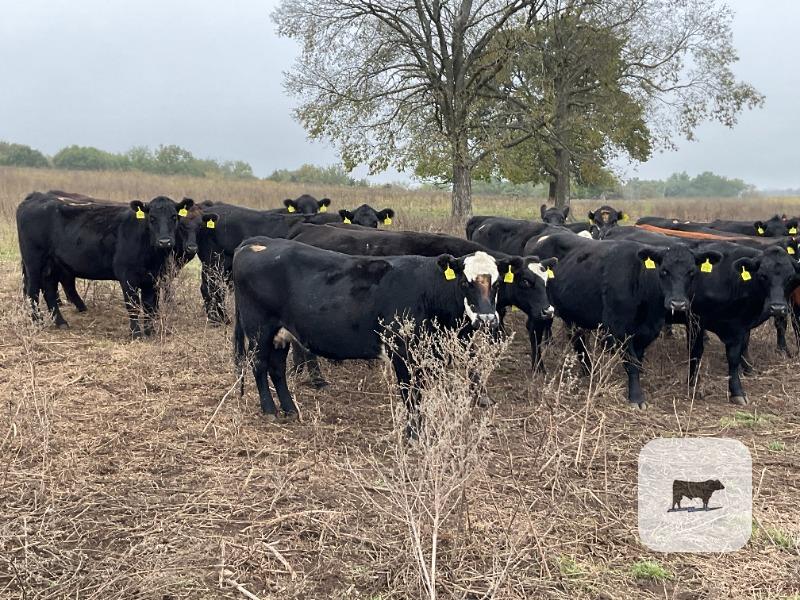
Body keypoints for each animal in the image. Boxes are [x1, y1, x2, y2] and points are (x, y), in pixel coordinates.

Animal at [17, 191, 192, 336]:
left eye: (174, 217)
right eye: (152, 218)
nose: (164, 241)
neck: (152, 257)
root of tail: (36, 197)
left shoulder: (153, 278)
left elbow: (150, 307)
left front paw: (150, 332)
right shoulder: (127, 276)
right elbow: (133, 305)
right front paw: (136, 333)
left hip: (52, 265)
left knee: (49, 291)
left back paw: (60, 322)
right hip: (33, 262)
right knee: (33, 291)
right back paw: (38, 322)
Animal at [232, 237, 512, 436]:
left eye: (498, 284)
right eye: (465, 282)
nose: (487, 319)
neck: (428, 291)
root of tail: (259, 243)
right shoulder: (402, 353)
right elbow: (410, 395)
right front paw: (414, 434)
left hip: (281, 333)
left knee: (277, 368)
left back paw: (290, 409)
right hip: (259, 329)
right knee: (259, 365)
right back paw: (270, 410)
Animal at [543, 238, 721, 407]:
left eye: (692, 272)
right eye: (664, 270)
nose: (678, 304)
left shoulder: (648, 331)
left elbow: (638, 360)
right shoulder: (619, 330)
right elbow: (632, 363)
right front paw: (636, 398)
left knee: (578, 340)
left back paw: (587, 370)